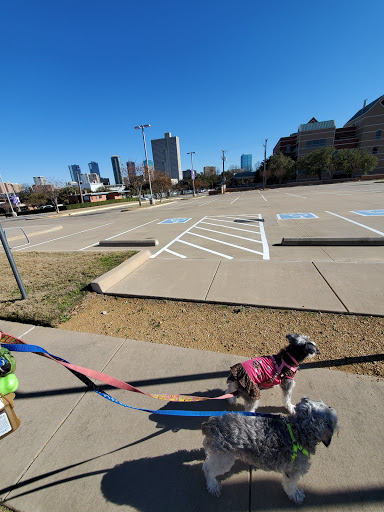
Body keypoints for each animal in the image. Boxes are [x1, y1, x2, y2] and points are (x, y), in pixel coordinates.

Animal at [202, 396, 338, 504]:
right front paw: (296, 495)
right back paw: (213, 486)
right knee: (208, 469)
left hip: (217, 454)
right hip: (224, 459)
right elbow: (290, 485)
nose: (332, 407)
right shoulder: (293, 471)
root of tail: (210, 424)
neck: (298, 430)